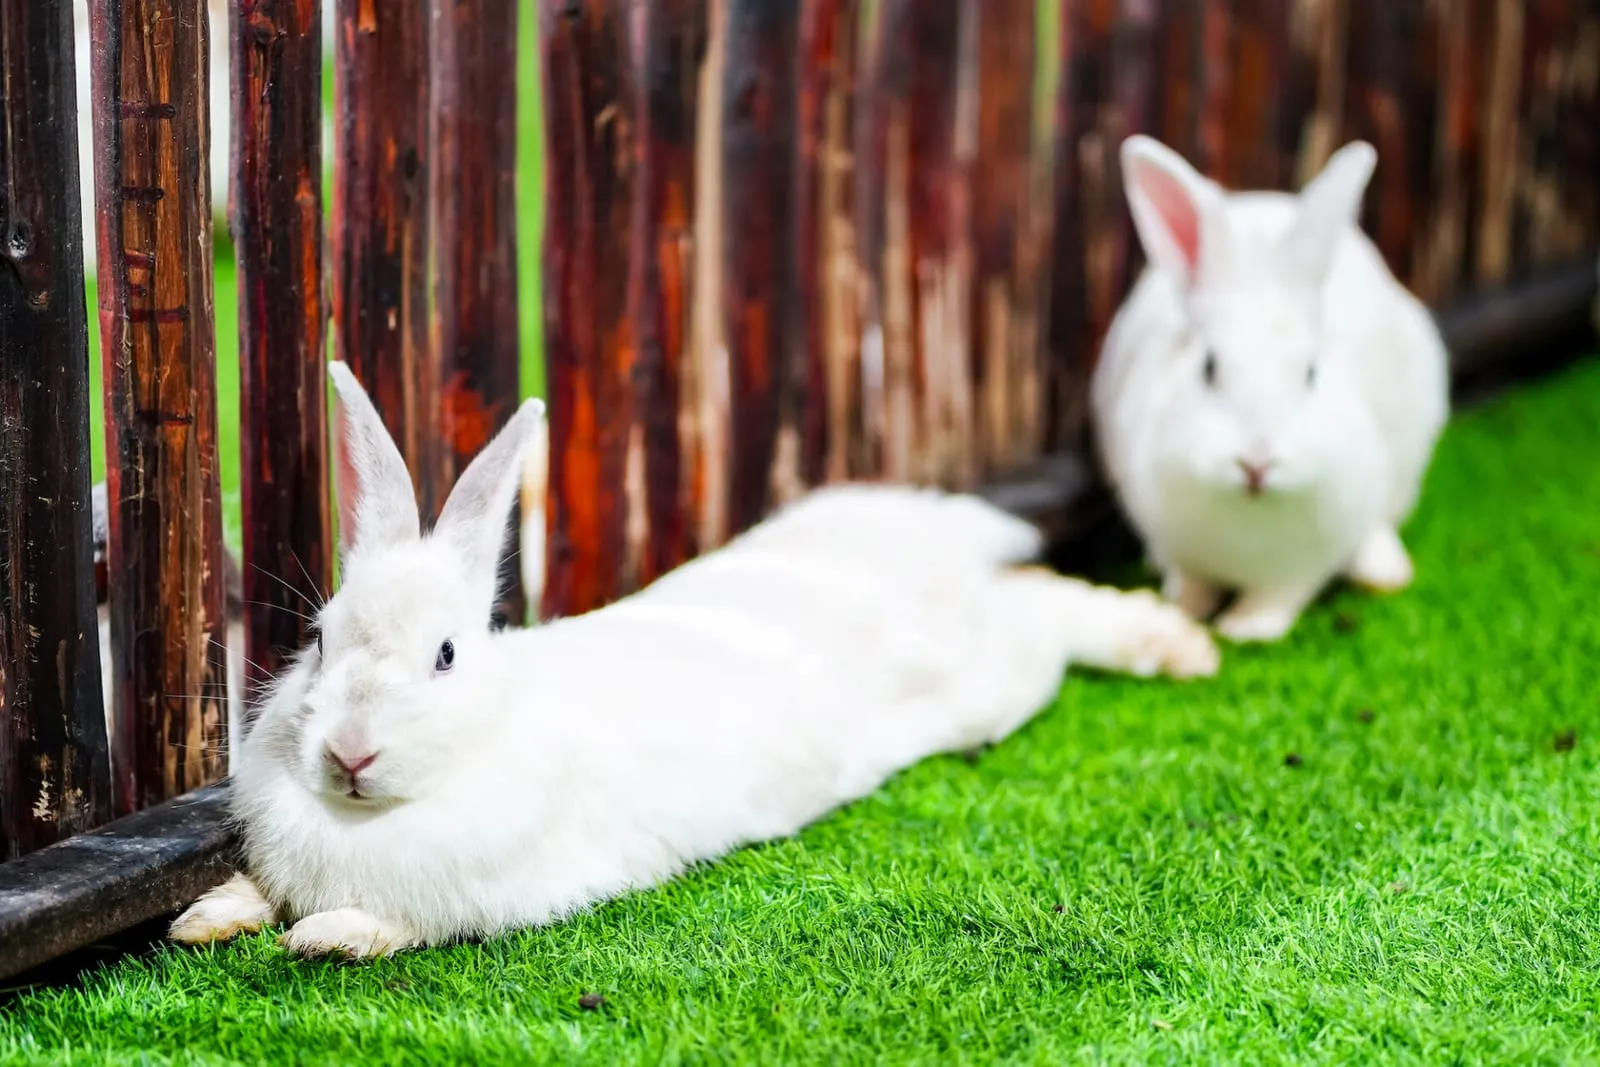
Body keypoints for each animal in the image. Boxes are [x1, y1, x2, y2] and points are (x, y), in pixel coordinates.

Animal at [168, 359, 1219, 960]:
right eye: (318, 640)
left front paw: (323, 936)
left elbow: (396, 923)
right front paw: (206, 916)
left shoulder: (493, 892)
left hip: (1000, 675)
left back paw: (1178, 647)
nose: (348, 753)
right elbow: (254, 889)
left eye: (446, 656)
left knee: (1049, 604)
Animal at [1089, 134, 1450, 643]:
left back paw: (1383, 570)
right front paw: (1183, 610)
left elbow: (1279, 596)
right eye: (1209, 368)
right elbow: (1191, 580)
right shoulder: (1173, 538)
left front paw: (1245, 628)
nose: (1256, 464)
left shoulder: (1305, 565)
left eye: (1311, 373)